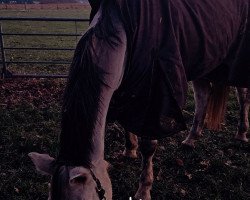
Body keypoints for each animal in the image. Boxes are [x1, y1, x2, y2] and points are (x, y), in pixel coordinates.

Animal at [28, 0, 249, 199]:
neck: (121, 29)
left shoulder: (154, 97)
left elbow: (148, 145)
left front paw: (144, 190)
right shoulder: (126, 90)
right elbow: (127, 125)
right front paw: (129, 150)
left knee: (243, 96)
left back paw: (241, 133)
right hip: (204, 61)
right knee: (203, 95)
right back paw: (191, 139)